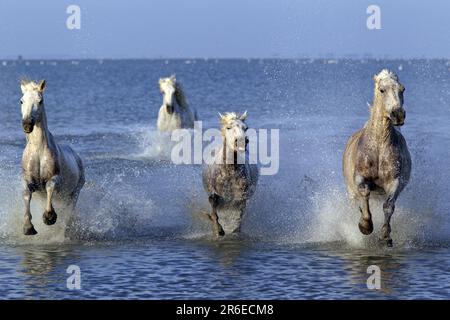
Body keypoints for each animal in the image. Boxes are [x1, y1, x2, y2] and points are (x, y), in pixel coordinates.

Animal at [19, 80, 84, 235]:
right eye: (21, 101)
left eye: (40, 101)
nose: (27, 125)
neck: (38, 151)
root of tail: (77, 157)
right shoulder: (28, 180)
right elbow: (26, 194)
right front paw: (28, 227)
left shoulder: (55, 179)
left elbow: (50, 187)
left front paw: (49, 217)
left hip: (74, 194)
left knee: (68, 212)